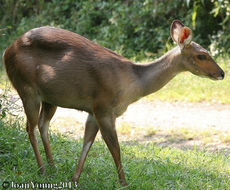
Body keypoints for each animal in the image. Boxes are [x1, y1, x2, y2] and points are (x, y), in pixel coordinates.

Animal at [3, 20, 223, 186]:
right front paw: (124, 183)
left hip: (50, 98)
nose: (221, 73)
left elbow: (87, 143)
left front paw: (75, 178)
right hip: (27, 89)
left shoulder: (93, 111)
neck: (133, 83)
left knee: (43, 125)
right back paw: (42, 170)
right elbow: (115, 148)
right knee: (30, 128)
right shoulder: (104, 108)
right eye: (202, 55)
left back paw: (52, 166)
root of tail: (7, 51)